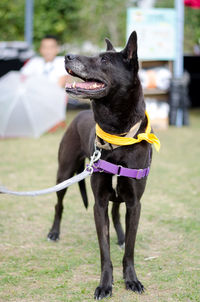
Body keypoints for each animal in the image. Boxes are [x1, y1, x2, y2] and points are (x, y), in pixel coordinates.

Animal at [47, 30, 155, 300]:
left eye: (104, 60)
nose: (67, 56)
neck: (117, 137)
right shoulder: (100, 203)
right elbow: (104, 251)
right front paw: (105, 284)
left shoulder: (135, 203)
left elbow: (130, 249)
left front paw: (132, 279)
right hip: (64, 173)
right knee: (58, 204)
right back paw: (54, 232)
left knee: (117, 214)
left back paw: (120, 236)